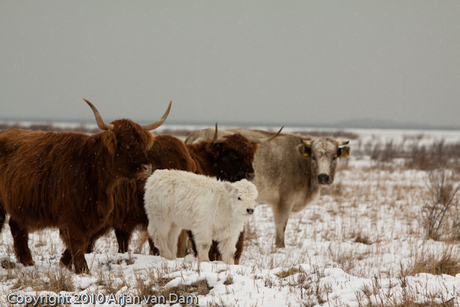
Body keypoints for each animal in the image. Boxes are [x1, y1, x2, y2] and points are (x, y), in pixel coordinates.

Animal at [0, 99, 171, 274]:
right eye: (125, 144)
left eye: (142, 143)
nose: (147, 167)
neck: (91, 167)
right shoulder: (70, 213)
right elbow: (76, 240)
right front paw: (82, 270)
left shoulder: (91, 215)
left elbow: (82, 240)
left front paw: (65, 262)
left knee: (16, 226)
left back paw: (27, 261)